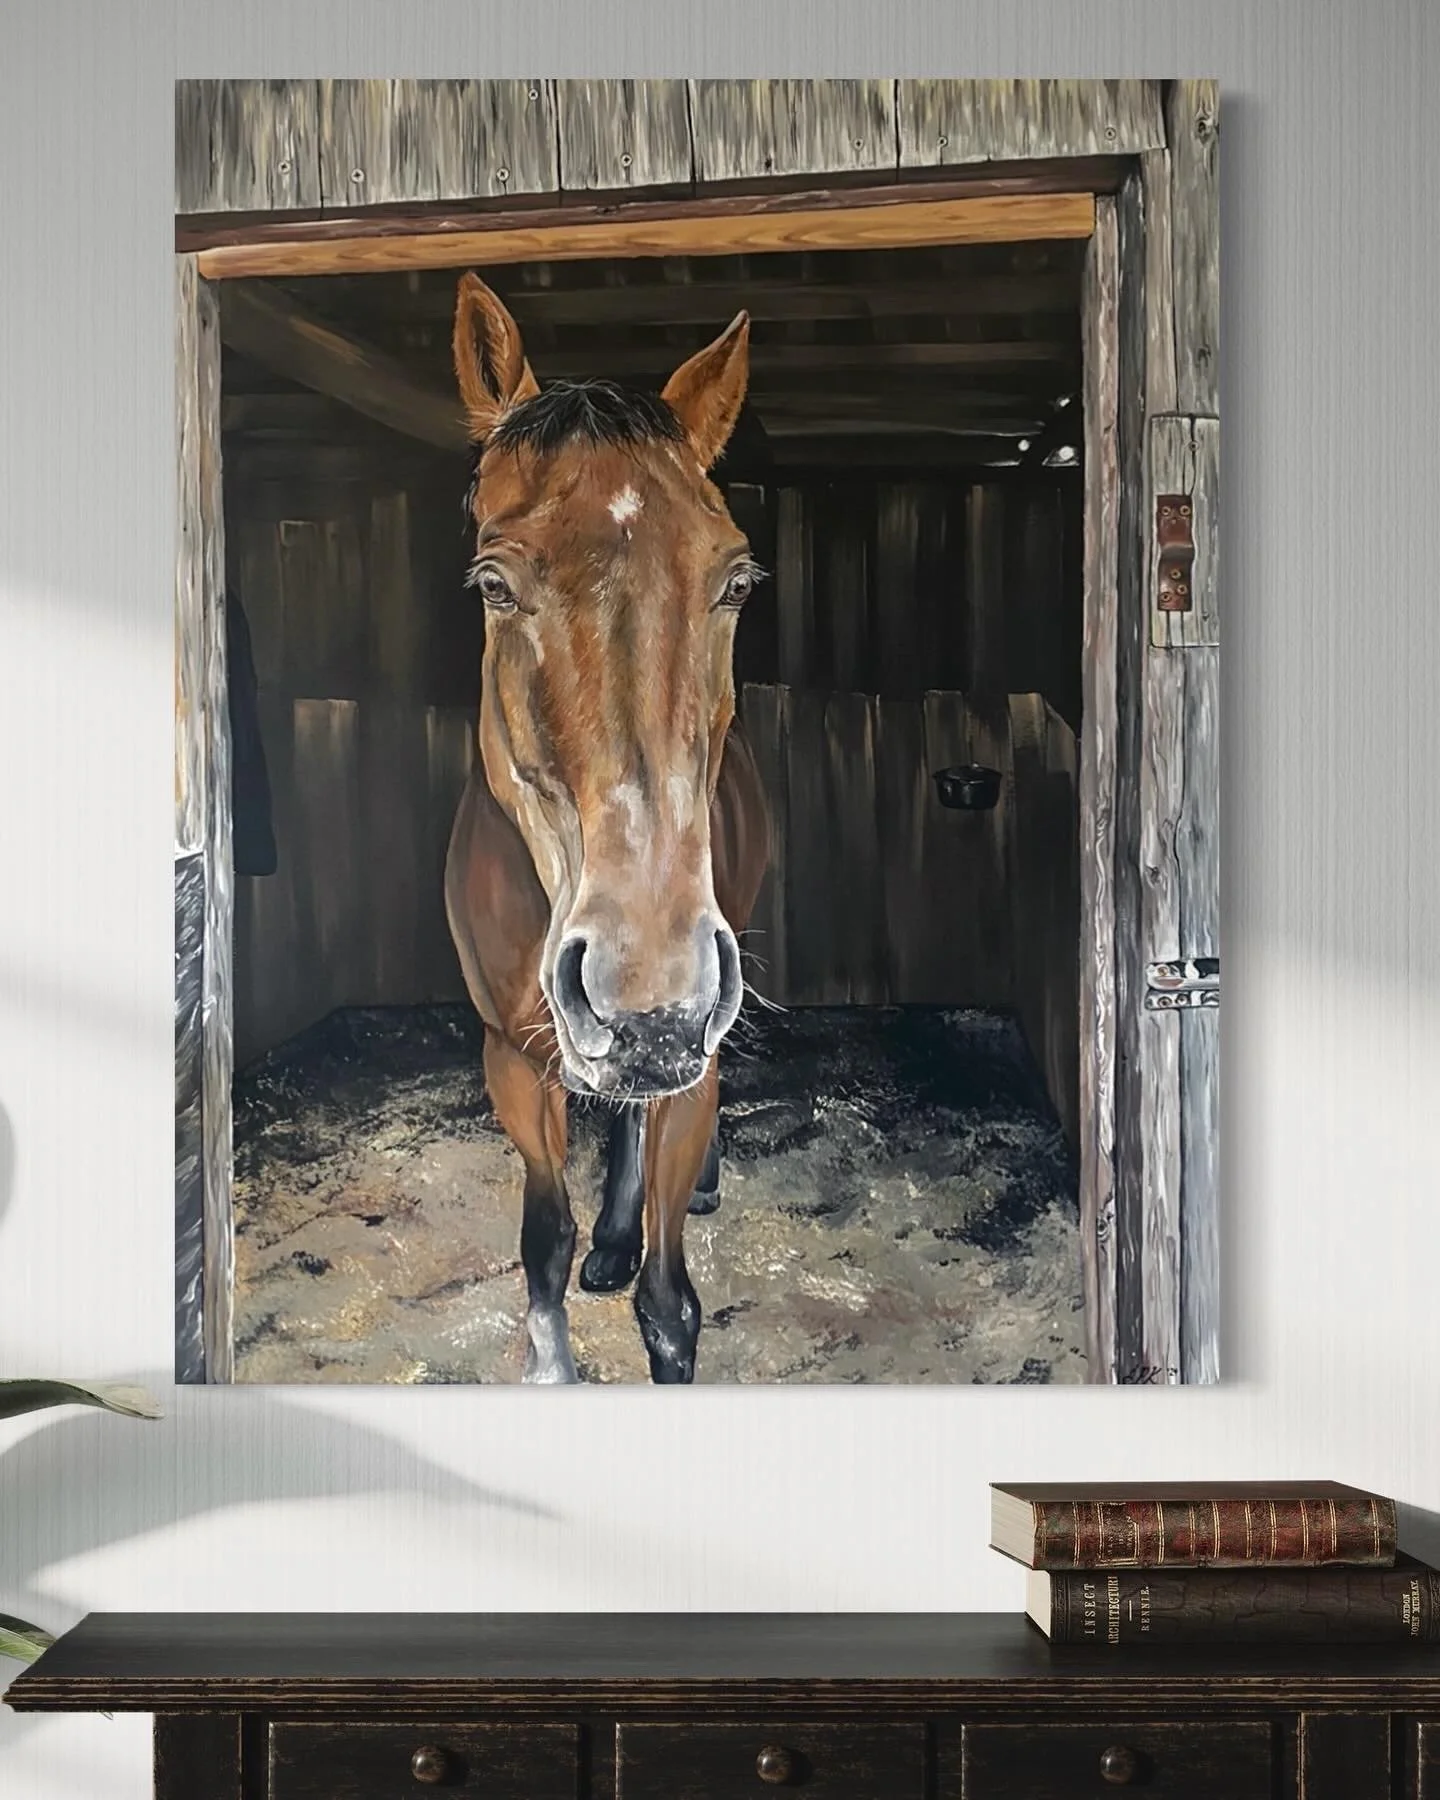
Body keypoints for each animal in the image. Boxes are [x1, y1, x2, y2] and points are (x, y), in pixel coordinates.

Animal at [444, 273, 771, 1384]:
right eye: (492, 584)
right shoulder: (512, 1058)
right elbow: (543, 1247)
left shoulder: (691, 1067)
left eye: (736, 581)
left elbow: (670, 1310)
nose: (649, 996)